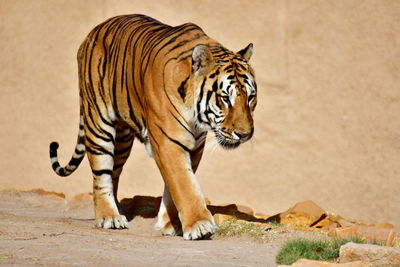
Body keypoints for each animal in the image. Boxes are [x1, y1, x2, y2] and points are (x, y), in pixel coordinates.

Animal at [49, 13, 256, 242]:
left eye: (250, 97)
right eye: (225, 98)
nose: (244, 134)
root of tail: (93, 32)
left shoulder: (195, 146)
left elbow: (175, 186)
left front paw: (170, 224)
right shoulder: (168, 142)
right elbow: (185, 185)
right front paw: (199, 225)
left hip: (122, 140)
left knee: (113, 173)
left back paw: (117, 209)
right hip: (99, 123)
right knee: (101, 174)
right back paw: (109, 217)